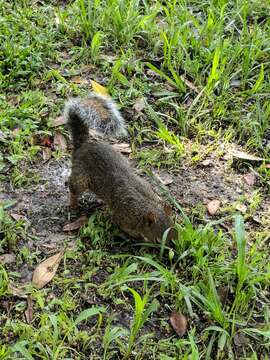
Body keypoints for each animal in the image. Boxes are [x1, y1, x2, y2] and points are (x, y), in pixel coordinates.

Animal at [63, 94, 173, 243]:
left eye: (176, 232)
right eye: (157, 241)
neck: (146, 206)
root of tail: (83, 145)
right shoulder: (123, 216)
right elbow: (122, 225)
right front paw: (139, 237)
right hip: (80, 177)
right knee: (73, 189)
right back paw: (74, 204)